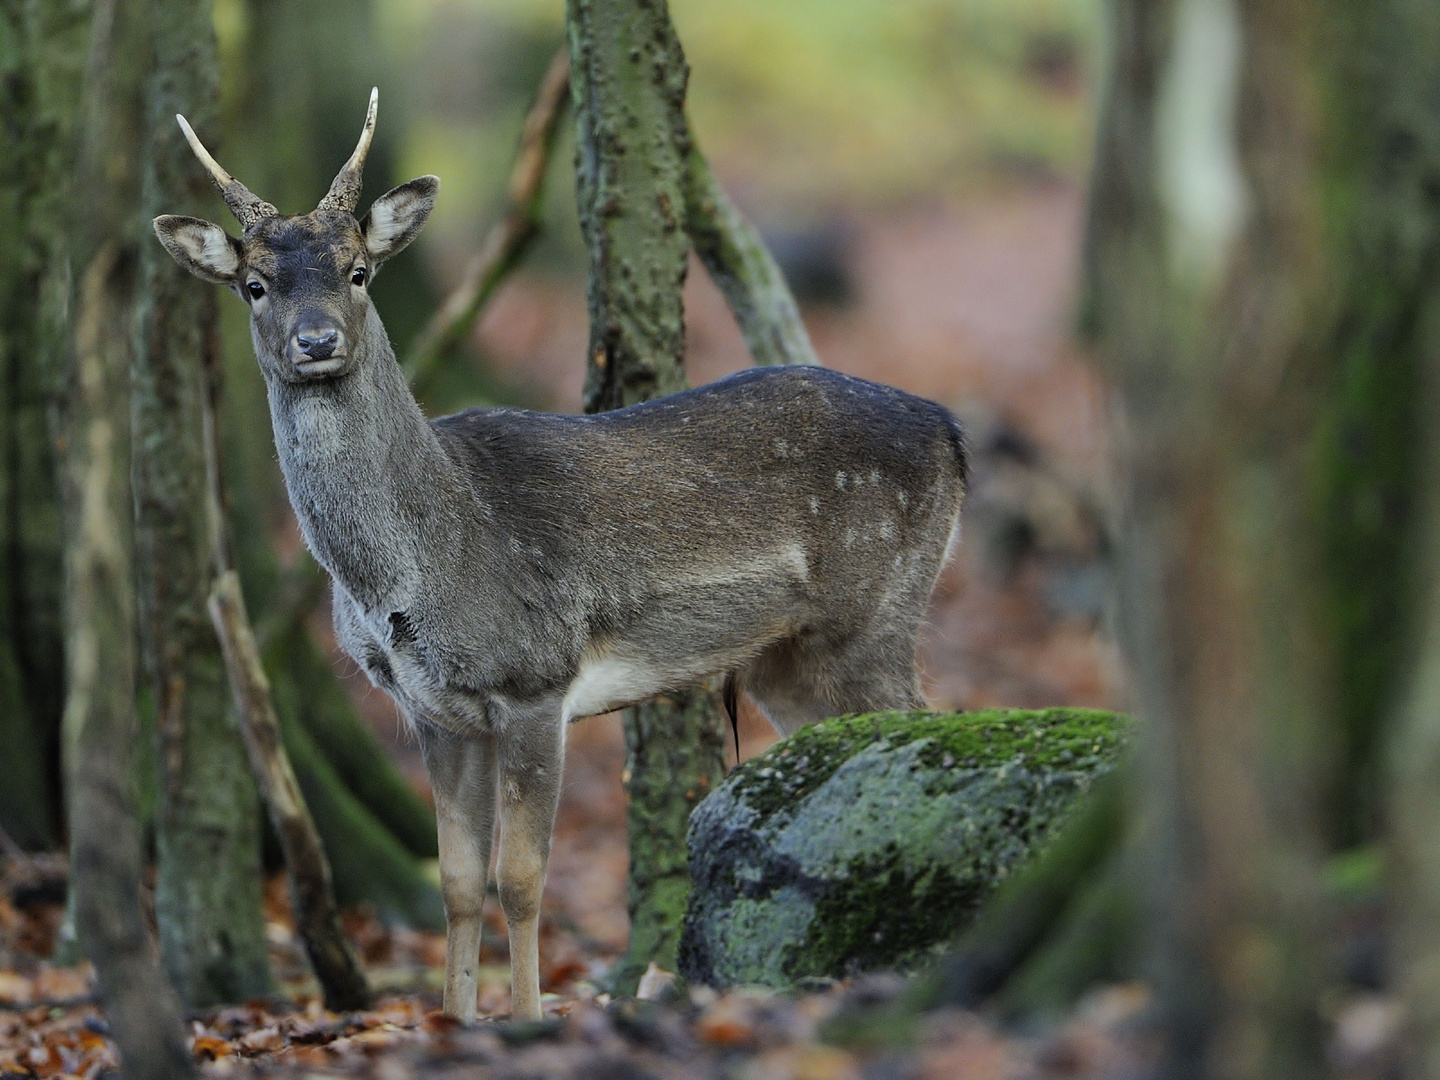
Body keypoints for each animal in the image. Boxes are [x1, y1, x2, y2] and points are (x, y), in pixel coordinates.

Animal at [151, 91, 967, 1025]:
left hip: (877, 609)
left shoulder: (533, 678)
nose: (316, 341)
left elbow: (521, 880)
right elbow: (458, 883)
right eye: (254, 285)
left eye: (357, 271)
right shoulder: (435, 712)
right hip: (785, 660)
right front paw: (458, 1019)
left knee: (929, 725)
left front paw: (529, 1018)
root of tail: (953, 432)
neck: (408, 573)